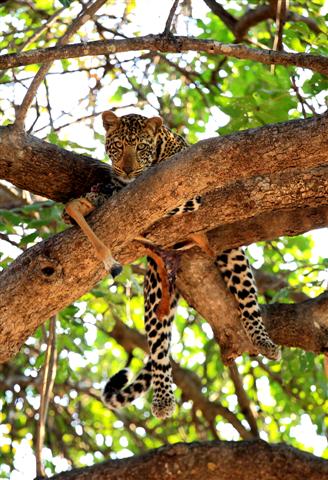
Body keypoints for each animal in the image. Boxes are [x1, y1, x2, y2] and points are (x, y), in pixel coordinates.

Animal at [65, 110, 280, 418]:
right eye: (118, 146)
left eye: (140, 147)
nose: (126, 171)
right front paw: (98, 193)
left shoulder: (184, 193)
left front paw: (102, 193)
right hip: (156, 283)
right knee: (159, 346)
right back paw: (163, 399)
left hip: (231, 256)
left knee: (248, 300)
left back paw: (263, 340)